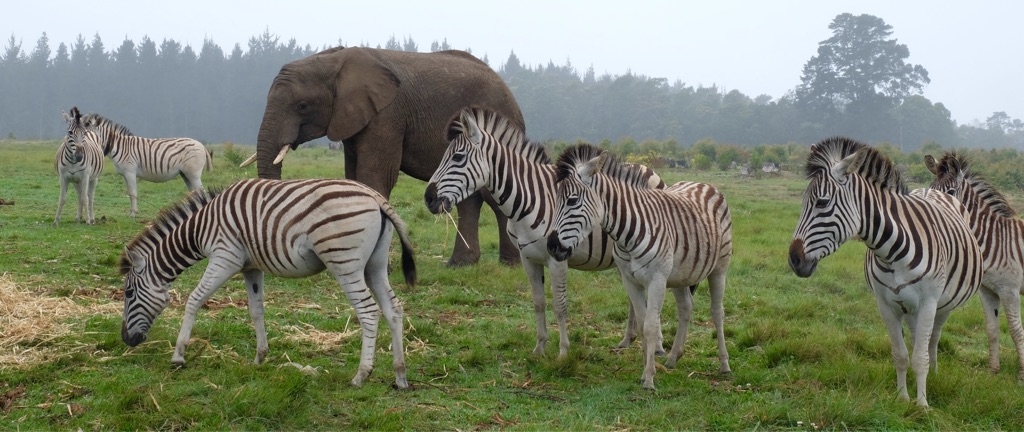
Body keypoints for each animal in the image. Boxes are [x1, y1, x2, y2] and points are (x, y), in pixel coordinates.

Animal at [243, 46, 524, 266]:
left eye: (302, 106)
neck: (335, 59)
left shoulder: (387, 115)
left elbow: (375, 176)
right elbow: (354, 176)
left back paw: (510, 264)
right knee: (470, 199)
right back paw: (460, 265)